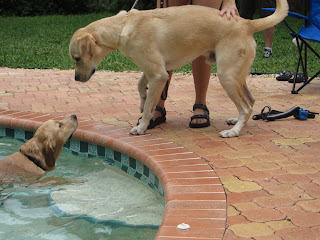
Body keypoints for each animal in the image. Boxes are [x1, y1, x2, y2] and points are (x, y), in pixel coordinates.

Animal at [69, 0, 288, 138]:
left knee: (246, 107)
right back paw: (238, 122)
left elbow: (148, 109)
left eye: (77, 58)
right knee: (251, 102)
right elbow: (140, 86)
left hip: (226, 76)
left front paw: (141, 127)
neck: (123, 26)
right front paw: (142, 101)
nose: (76, 79)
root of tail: (246, 23)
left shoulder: (158, 74)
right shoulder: (156, 70)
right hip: (237, 76)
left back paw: (234, 132)